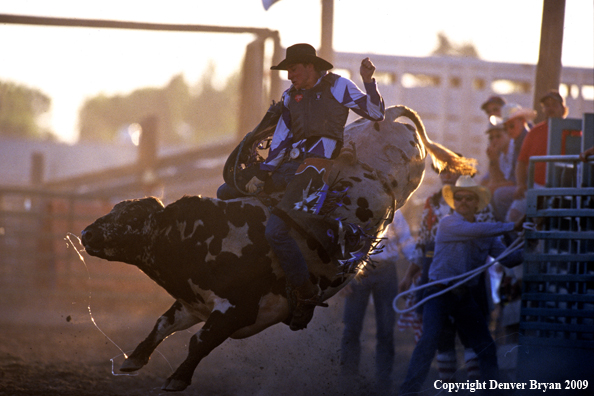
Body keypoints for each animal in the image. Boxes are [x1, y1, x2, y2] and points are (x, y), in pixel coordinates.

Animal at [81, 103, 474, 392]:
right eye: (115, 209)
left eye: (131, 218)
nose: (86, 232)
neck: (200, 237)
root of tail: (387, 118)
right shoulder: (193, 302)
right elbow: (163, 323)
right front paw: (134, 359)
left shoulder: (235, 310)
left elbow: (199, 342)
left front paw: (177, 379)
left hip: (409, 172)